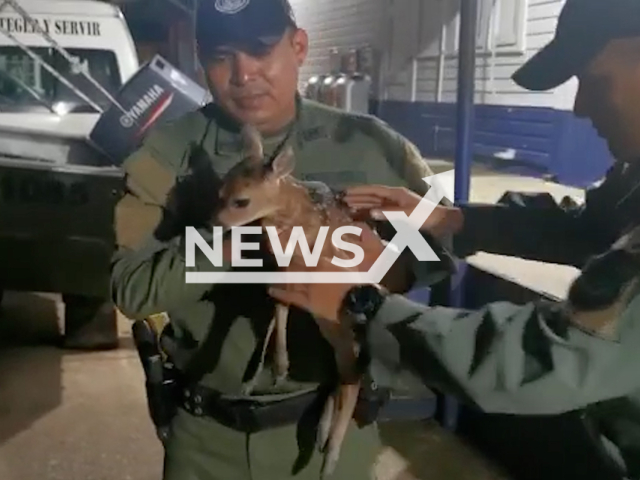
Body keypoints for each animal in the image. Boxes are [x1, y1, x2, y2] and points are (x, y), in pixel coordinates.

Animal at [215, 123, 370, 476]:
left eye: (241, 201)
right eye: (219, 191)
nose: (214, 223)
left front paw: (276, 369)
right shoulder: (285, 272)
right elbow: (279, 309)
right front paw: (276, 369)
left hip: (343, 323)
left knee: (352, 376)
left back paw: (329, 457)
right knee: (340, 371)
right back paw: (323, 432)